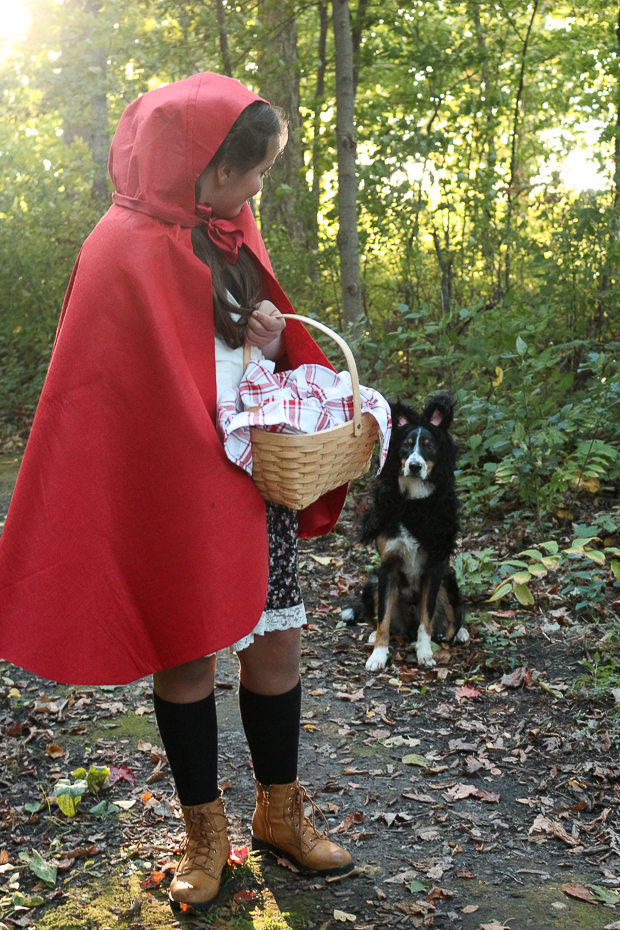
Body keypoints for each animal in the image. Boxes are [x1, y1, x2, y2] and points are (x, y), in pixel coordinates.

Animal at [342, 392, 468, 668]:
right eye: (407, 446)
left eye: (429, 446)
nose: (415, 466)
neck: (413, 504)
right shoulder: (387, 567)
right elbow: (383, 620)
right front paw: (378, 654)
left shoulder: (435, 567)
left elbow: (426, 620)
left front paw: (425, 652)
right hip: (372, 583)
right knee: (382, 621)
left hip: (448, 580)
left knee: (455, 617)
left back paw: (460, 633)